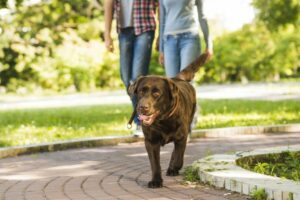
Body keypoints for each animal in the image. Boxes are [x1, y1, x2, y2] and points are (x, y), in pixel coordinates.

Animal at [127, 52, 209, 188]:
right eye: (141, 91)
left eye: (156, 94)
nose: (142, 107)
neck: (163, 121)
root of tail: (178, 78)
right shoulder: (151, 141)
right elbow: (155, 164)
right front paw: (156, 180)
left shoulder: (182, 137)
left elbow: (178, 156)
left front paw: (174, 167)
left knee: (176, 153)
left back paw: (172, 168)